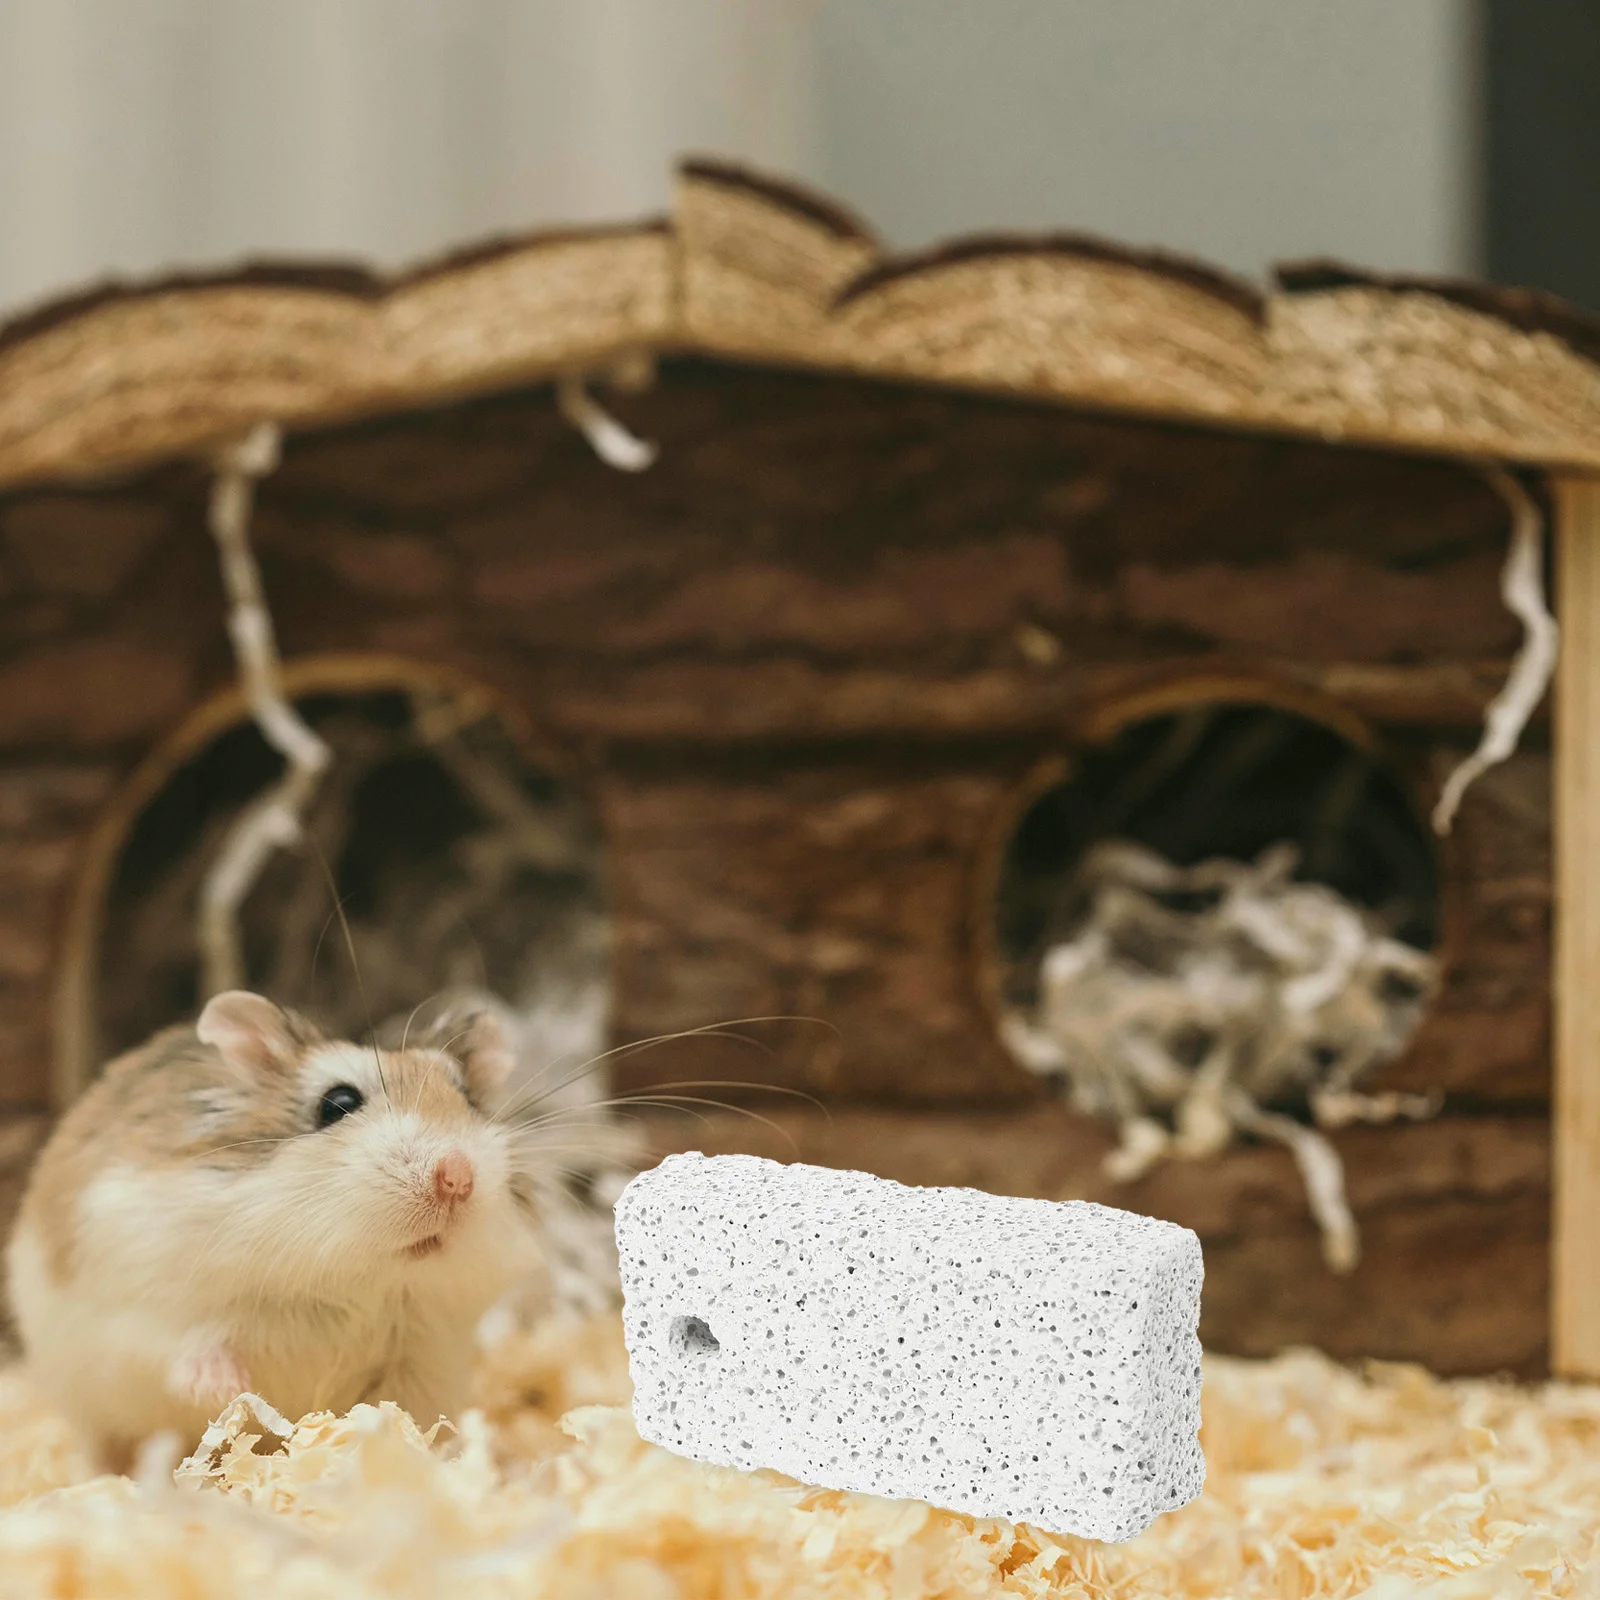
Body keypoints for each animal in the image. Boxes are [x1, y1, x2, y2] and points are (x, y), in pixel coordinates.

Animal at [6, 990, 547, 1472]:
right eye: (338, 1102)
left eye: (467, 1098)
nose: (457, 1177)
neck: (356, 1280)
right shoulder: (146, 1305)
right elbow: (187, 1349)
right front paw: (231, 1392)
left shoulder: (424, 1357)